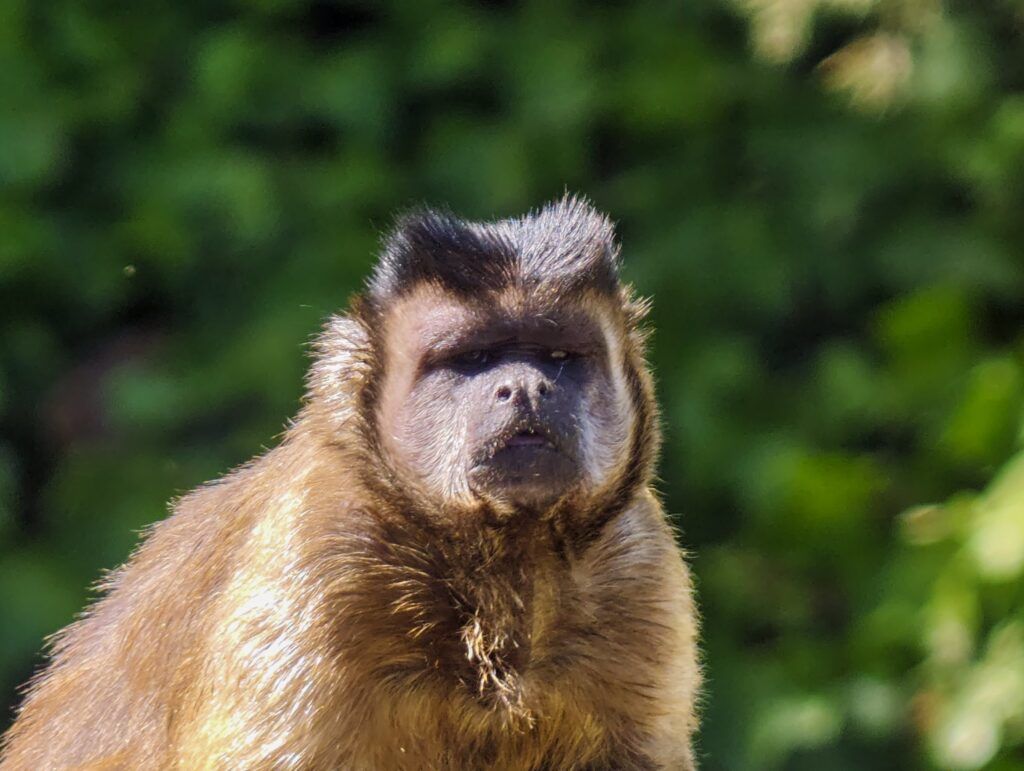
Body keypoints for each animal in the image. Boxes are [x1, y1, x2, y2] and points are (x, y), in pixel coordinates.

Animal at [0, 196, 701, 770]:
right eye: (472, 359)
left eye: (558, 356)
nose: (525, 388)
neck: (495, 567)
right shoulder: (320, 557)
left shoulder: (635, 566)